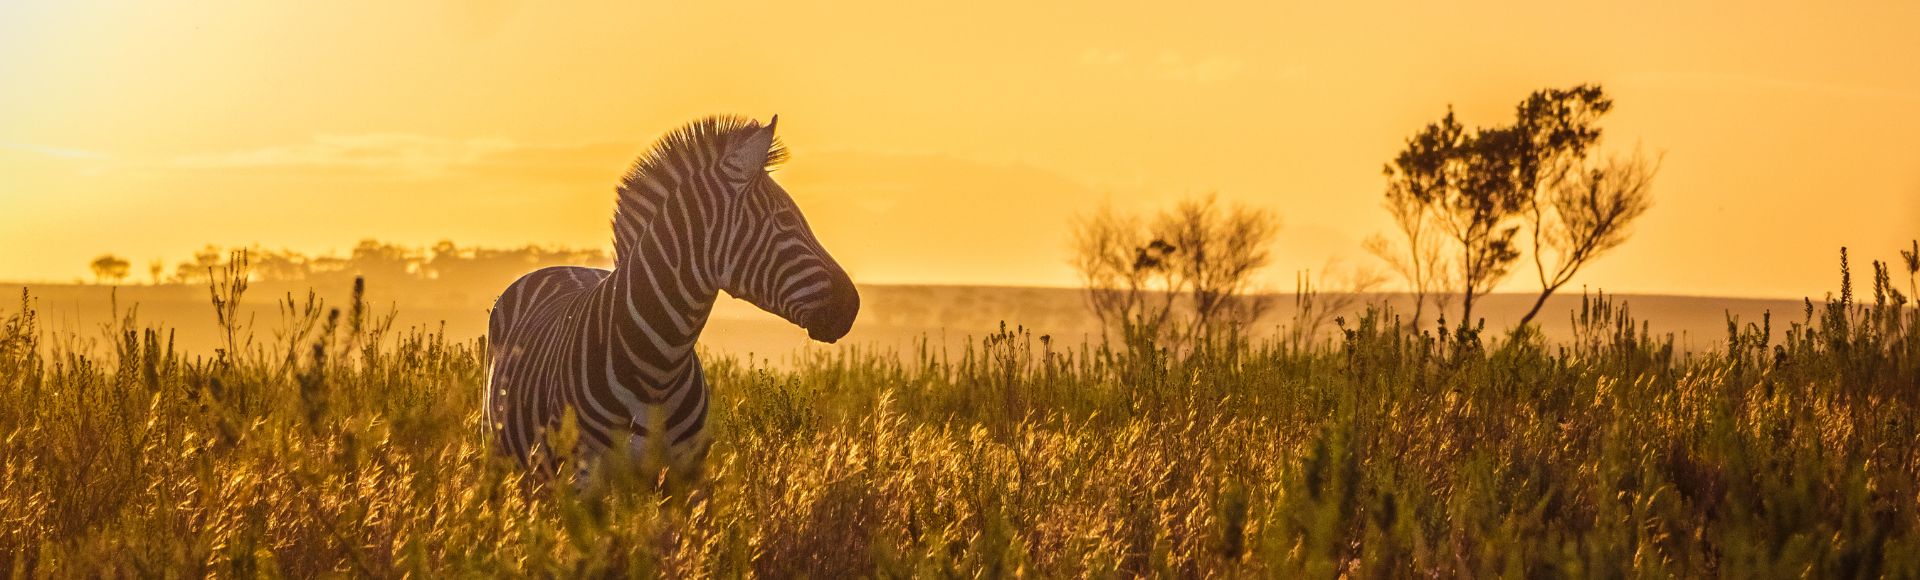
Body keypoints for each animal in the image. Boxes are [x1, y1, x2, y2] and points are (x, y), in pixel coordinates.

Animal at [484, 115, 858, 478]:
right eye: (783, 220)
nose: (852, 306)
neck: (658, 369)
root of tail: (562, 266)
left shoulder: (685, 479)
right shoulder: (580, 481)